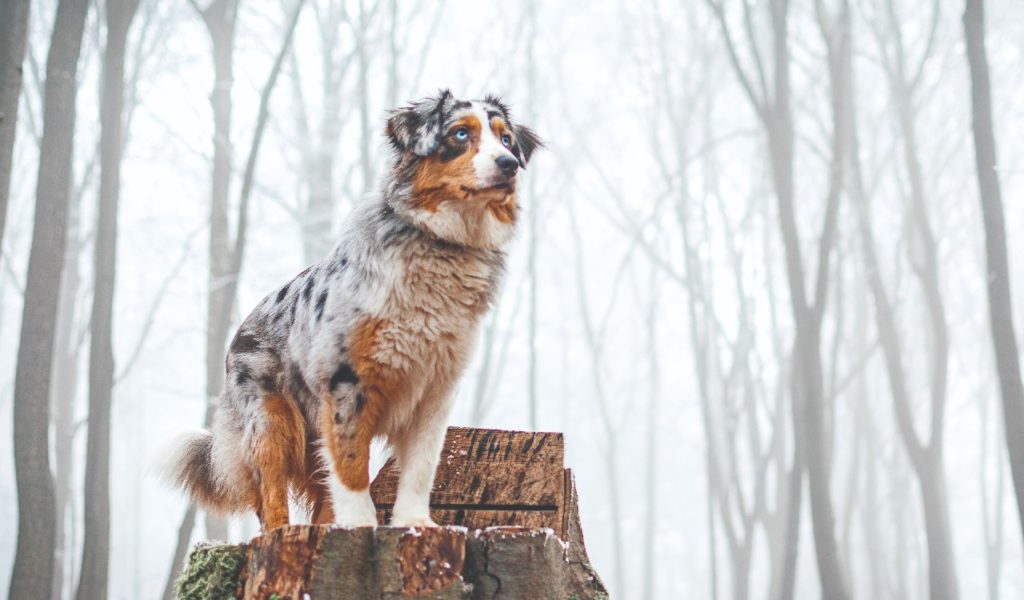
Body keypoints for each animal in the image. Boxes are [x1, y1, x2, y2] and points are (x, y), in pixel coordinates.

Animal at [163, 90, 540, 528]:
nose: (508, 164)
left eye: (507, 140)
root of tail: (241, 329)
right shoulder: (347, 381)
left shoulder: (435, 388)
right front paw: (361, 524)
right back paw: (280, 530)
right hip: (272, 423)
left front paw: (414, 522)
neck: (442, 244)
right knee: (270, 494)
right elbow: (351, 464)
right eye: (461, 134)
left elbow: (420, 466)